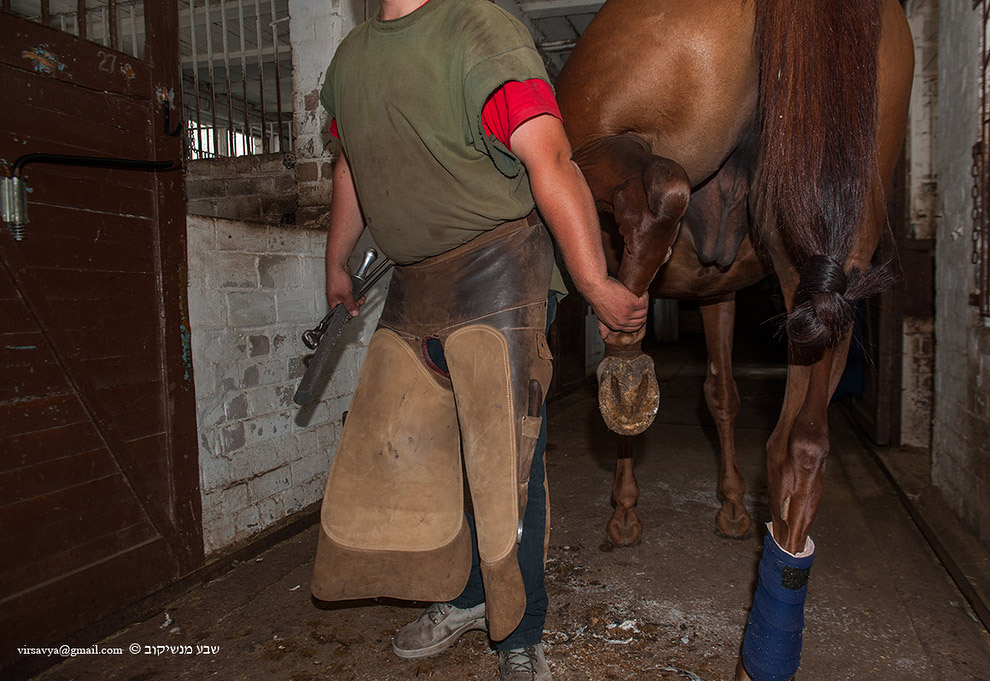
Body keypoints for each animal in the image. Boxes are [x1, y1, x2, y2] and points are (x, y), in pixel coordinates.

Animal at [560, 1, 916, 680]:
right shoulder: (718, 292)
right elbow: (722, 394)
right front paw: (729, 508)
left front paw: (624, 511)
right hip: (832, 266)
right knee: (799, 446)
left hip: (601, 154)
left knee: (661, 191)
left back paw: (625, 364)